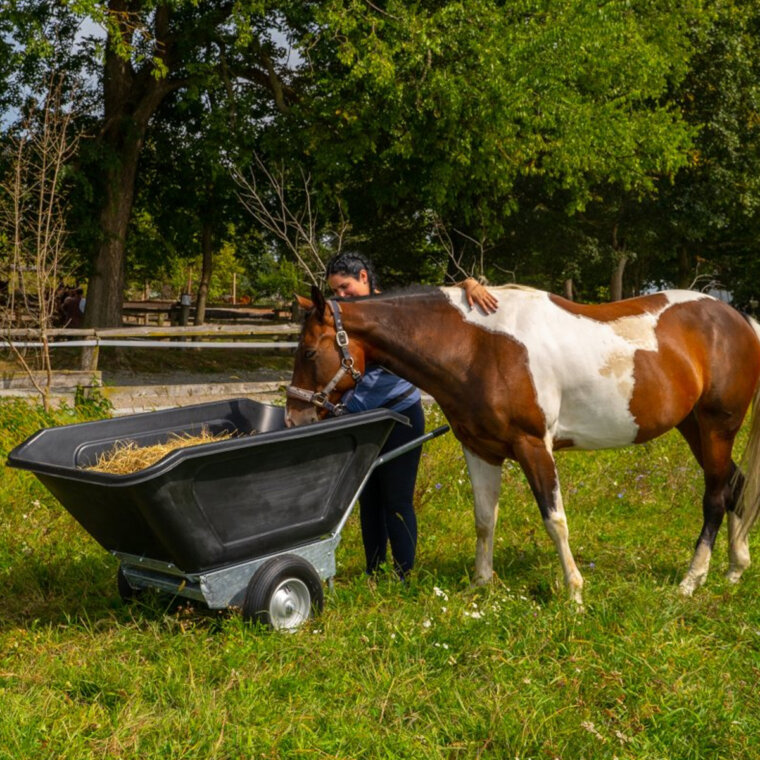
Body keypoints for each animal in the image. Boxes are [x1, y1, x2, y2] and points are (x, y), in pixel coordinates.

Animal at [284, 284, 760, 604]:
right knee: (735, 484)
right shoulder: (480, 449)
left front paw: (574, 593)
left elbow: (555, 519)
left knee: (716, 496)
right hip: (693, 427)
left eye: (309, 352)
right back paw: (735, 569)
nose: (294, 417)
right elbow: (484, 519)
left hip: (717, 428)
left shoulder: (534, 446)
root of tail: (739, 320)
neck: (476, 346)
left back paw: (691, 580)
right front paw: (480, 584)